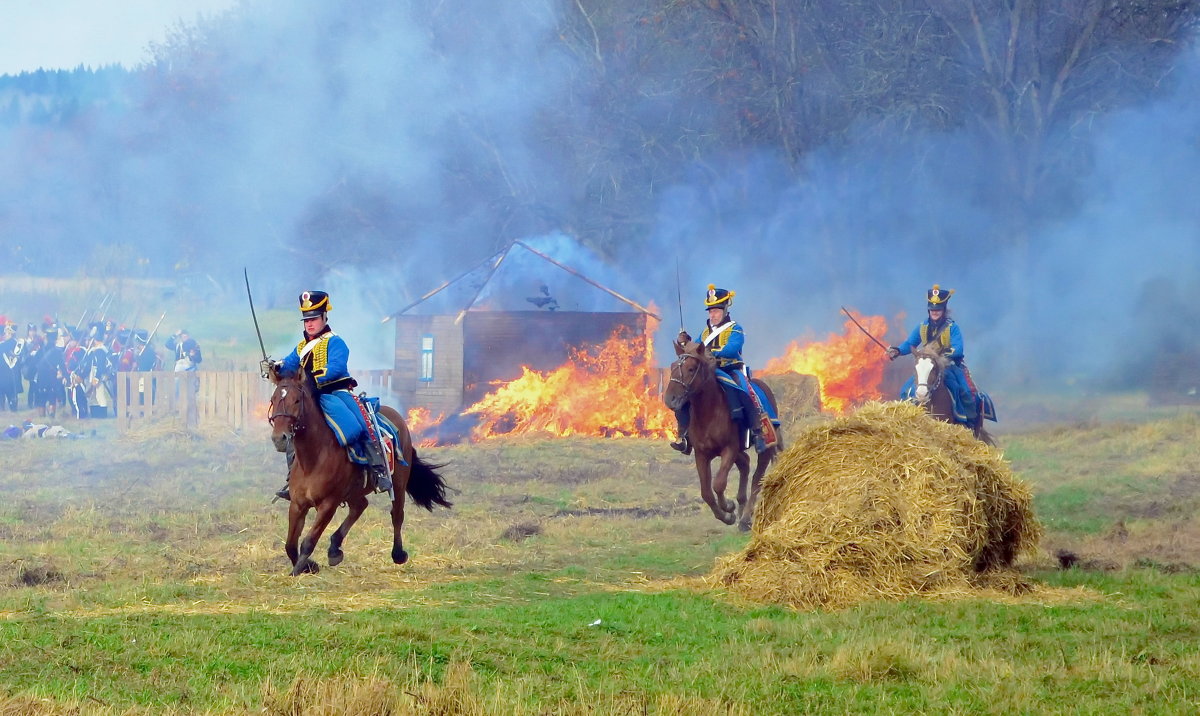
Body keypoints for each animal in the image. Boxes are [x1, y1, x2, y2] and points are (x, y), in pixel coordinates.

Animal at [270, 369, 451, 575]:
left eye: (297, 400)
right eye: (273, 399)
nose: (279, 438)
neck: (314, 458)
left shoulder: (328, 505)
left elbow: (308, 541)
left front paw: (300, 569)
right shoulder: (298, 505)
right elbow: (290, 544)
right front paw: (309, 565)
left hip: (398, 482)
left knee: (397, 514)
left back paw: (398, 554)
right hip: (353, 491)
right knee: (360, 506)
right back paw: (335, 548)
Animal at [662, 340, 782, 530]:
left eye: (691, 368)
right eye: (673, 366)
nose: (670, 399)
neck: (709, 412)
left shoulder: (729, 449)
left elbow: (718, 484)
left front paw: (728, 508)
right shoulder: (702, 454)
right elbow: (706, 493)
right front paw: (727, 515)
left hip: (766, 447)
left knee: (756, 479)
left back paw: (745, 518)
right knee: (745, 464)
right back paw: (741, 508)